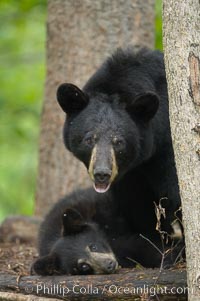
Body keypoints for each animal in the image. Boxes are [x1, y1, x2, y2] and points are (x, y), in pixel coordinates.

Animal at [55, 47, 181, 239]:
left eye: (119, 142)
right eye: (89, 139)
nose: (102, 174)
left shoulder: (168, 149)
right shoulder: (129, 178)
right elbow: (139, 210)